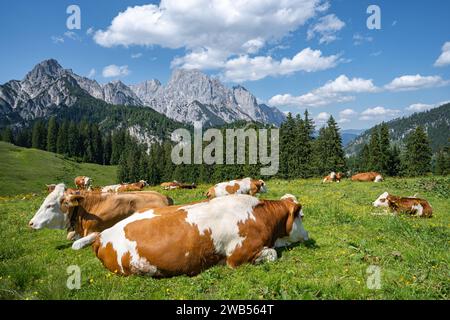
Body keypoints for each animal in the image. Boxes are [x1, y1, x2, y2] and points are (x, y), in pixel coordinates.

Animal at [28, 185, 172, 250]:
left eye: (50, 205)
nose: (31, 223)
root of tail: (164, 197)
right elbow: (70, 236)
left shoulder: (95, 230)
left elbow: (76, 244)